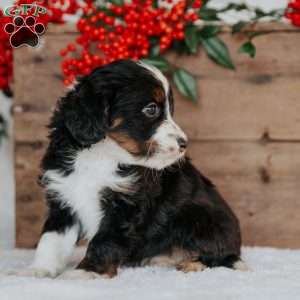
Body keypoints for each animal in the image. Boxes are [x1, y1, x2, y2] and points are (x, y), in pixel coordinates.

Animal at [12, 59, 246, 278]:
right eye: (151, 109)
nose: (184, 143)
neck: (101, 155)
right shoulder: (63, 197)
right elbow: (51, 240)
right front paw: (38, 269)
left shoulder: (125, 205)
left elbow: (103, 241)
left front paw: (86, 272)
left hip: (201, 218)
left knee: (222, 256)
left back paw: (191, 263)